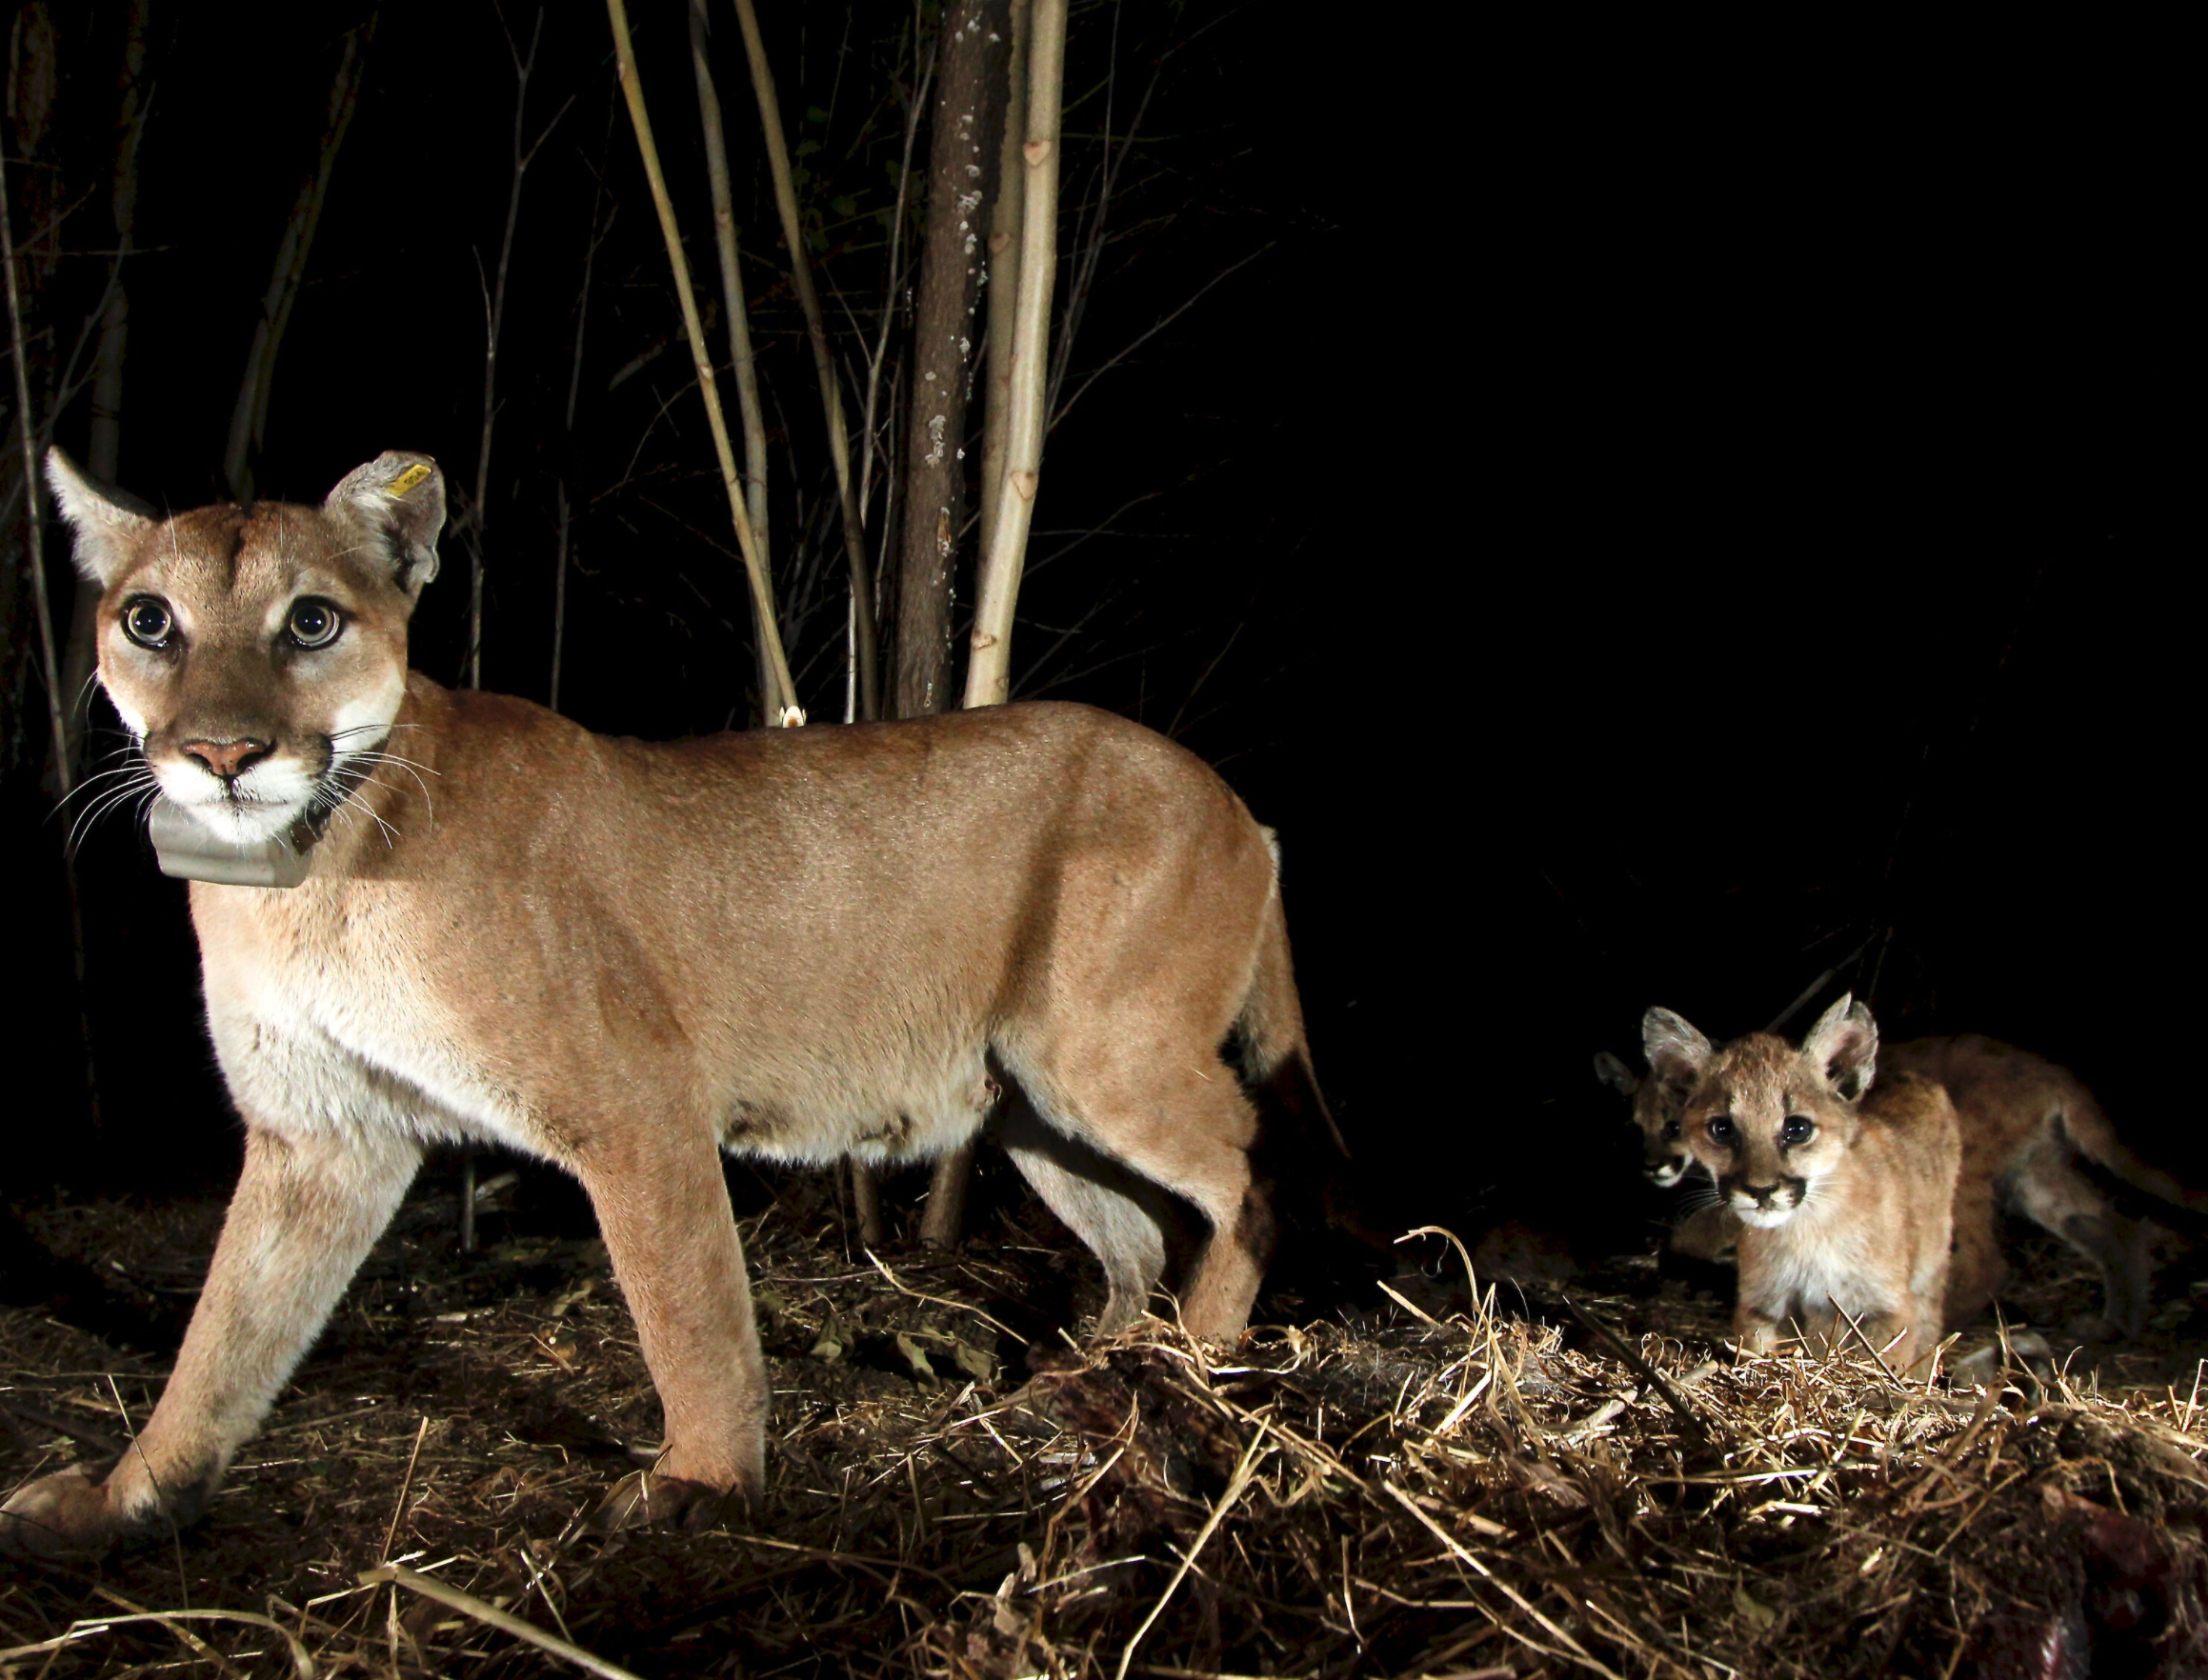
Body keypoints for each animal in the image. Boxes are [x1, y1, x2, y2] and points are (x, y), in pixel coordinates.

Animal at [0, 448, 1324, 1563]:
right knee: (1137, 1232)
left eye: (312, 621)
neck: (304, 874)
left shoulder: (636, 1103)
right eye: (148, 621)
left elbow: (687, 1308)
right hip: (1028, 1103)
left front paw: (703, 1484)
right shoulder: (322, 1134)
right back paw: (1095, 1377)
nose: (223, 756)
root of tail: (1235, 802)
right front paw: (126, 1500)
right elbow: (224, 1336)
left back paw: (1201, 1358)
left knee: (1251, 1169)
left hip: (1102, 1055)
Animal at [1651, 997, 1960, 1377]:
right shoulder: (1762, 1305)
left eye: (1797, 1129)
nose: (1760, 1191)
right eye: (1721, 1129)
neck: (1807, 1229)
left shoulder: (1889, 1308)